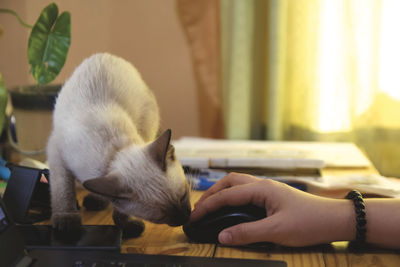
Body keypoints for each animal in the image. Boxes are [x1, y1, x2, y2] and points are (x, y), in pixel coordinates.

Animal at [47, 53, 191, 238]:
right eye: (161, 217)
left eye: (183, 196)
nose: (185, 219)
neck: (115, 152)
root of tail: (105, 55)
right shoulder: (57, 154)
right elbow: (63, 192)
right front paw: (67, 223)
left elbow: (120, 208)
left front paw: (127, 224)